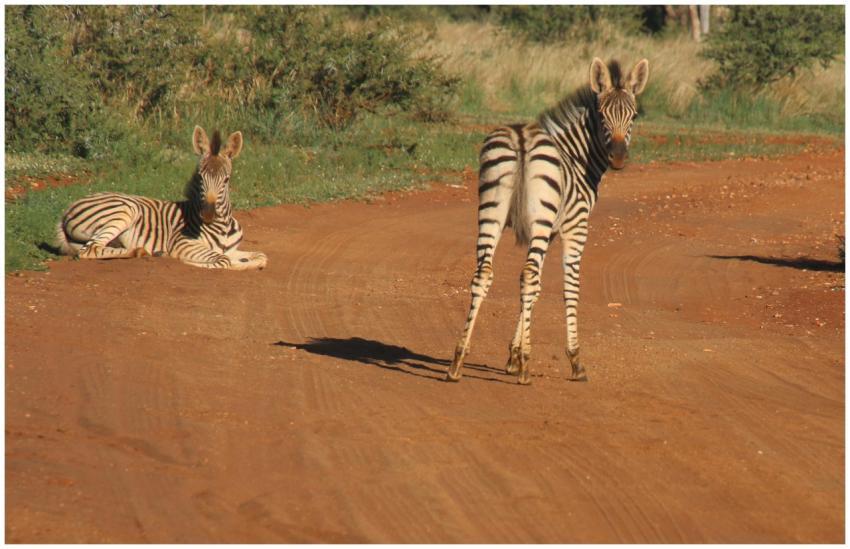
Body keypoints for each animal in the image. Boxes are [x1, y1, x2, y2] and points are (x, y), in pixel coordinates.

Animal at [57, 126, 268, 270]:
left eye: (226, 179)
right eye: (200, 177)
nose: (208, 214)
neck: (223, 225)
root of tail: (67, 209)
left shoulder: (232, 249)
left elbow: (261, 257)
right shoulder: (183, 243)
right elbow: (223, 260)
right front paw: (189, 261)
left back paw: (143, 251)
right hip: (124, 210)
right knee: (91, 249)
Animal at [446, 57, 650, 385]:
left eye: (632, 116)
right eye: (602, 116)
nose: (618, 158)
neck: (577, 156)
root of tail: (521, 137)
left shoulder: (548, 231)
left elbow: (537, 288)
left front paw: (513, 356)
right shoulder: (574, 226)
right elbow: (569, 288)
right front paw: (573, 360)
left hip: (492, 211)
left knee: (486, 274)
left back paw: (457, 360)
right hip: (537, 219)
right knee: (527, 275)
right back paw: (527, 370)